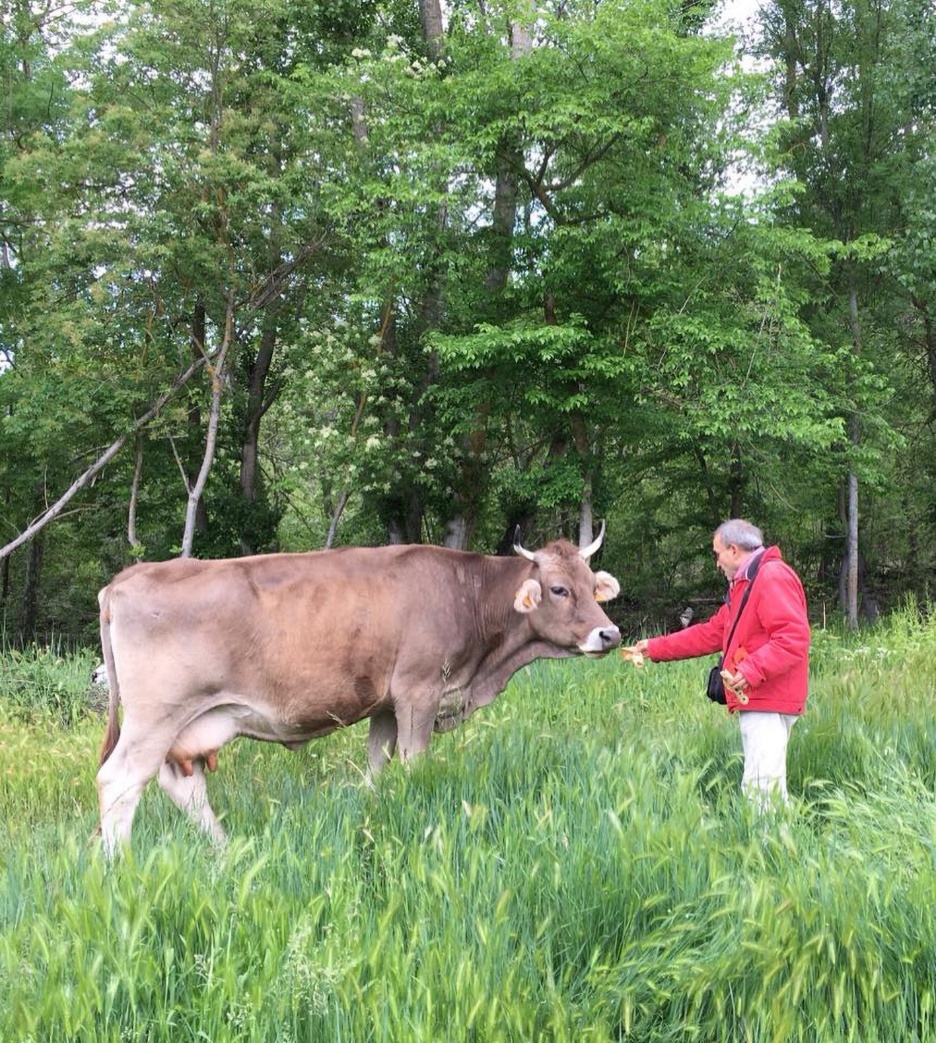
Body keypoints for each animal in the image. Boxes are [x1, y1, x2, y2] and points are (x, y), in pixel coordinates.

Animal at [95, 527, 621, 854]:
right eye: (559, 589)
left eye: (592, 585)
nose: (610, 634)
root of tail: (126, 578)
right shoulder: (418, 693)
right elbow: (414, 764)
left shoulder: (385, 705)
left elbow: (376, 769)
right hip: (155, 717)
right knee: (119, 781)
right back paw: (120, 864)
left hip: (185, 725)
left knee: (180, 785)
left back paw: (225, 850)